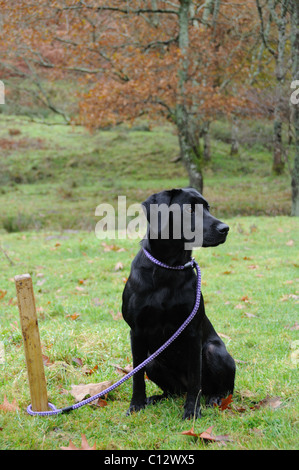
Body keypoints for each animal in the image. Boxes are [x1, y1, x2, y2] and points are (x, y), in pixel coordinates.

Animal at [122, 187, 237, 418]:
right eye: (189, 210)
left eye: (208, 208)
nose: (225, 228)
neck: (168, 266)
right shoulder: (136, 331)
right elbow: (137, 377)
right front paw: (136, 405)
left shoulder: (192, 331)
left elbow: (195, 380)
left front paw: (192, 411)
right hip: (152, 359)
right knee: (172, 391)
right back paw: (155, 398)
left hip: (213, 351)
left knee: (223, 388)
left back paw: (216, 398)